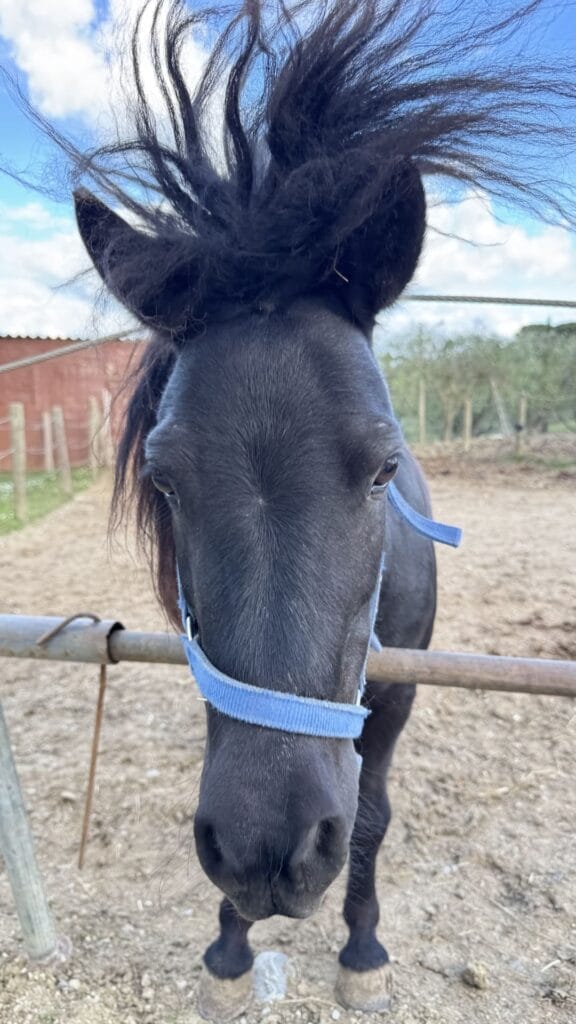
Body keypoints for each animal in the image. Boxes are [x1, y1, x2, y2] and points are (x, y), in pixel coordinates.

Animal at [53, 0, 574, 1016]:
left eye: (382, 469)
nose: (269, 854)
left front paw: (362, 951)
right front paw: (228, 951)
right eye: (164, 479)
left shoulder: (399, 694)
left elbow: (369, 817)